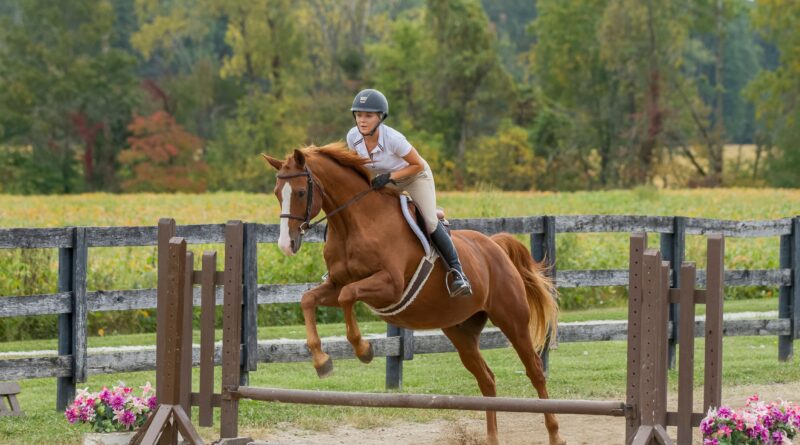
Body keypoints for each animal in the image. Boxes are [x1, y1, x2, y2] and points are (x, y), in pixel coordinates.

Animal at [262, 142, 565, 445]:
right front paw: (322, 361)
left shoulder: (389, 285)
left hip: (512, 319)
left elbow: (349, 295)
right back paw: (491, 437)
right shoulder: (334, 285)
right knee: (486, 379)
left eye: (301, 192)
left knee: (535, 371)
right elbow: (309, 299)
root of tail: (494, 245)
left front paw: (363, 349)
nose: (286, 245)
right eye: (277, 193)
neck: (356, 223)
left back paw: (554, 434)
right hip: (460, 330)